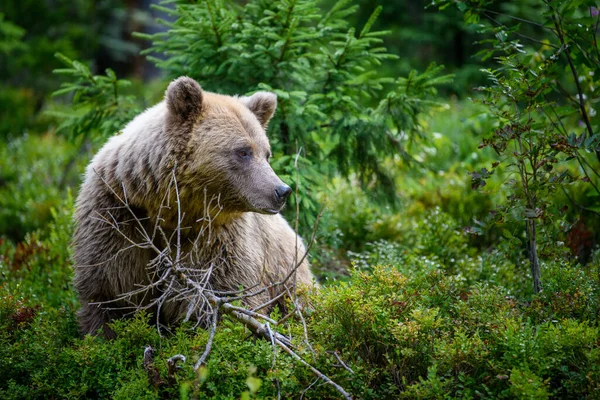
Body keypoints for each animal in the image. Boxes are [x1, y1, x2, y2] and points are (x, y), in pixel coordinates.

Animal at [71, 76, 314, 338]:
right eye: (243, 151)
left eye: (266, 153)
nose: (281, 191)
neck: (170, 207)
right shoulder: (117, 217)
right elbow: (108, 292)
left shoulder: (214, 238)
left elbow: (225, 293)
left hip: (289, 276)